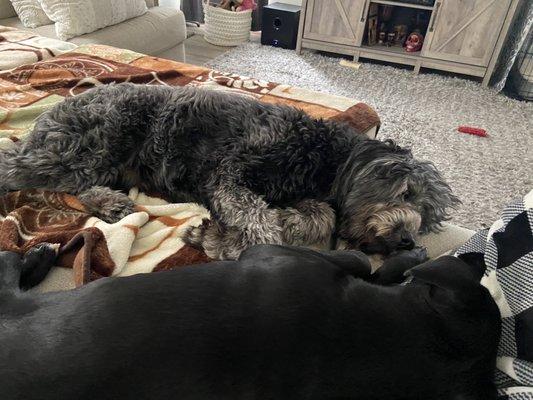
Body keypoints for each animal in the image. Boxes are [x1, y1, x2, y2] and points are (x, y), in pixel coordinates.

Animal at [0, 244, 498, 396]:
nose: (478, 257)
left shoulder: (266, 252)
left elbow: (360, 261)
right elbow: (362, 261)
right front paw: (405, 258)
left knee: (6, 266)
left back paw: (35, 255)